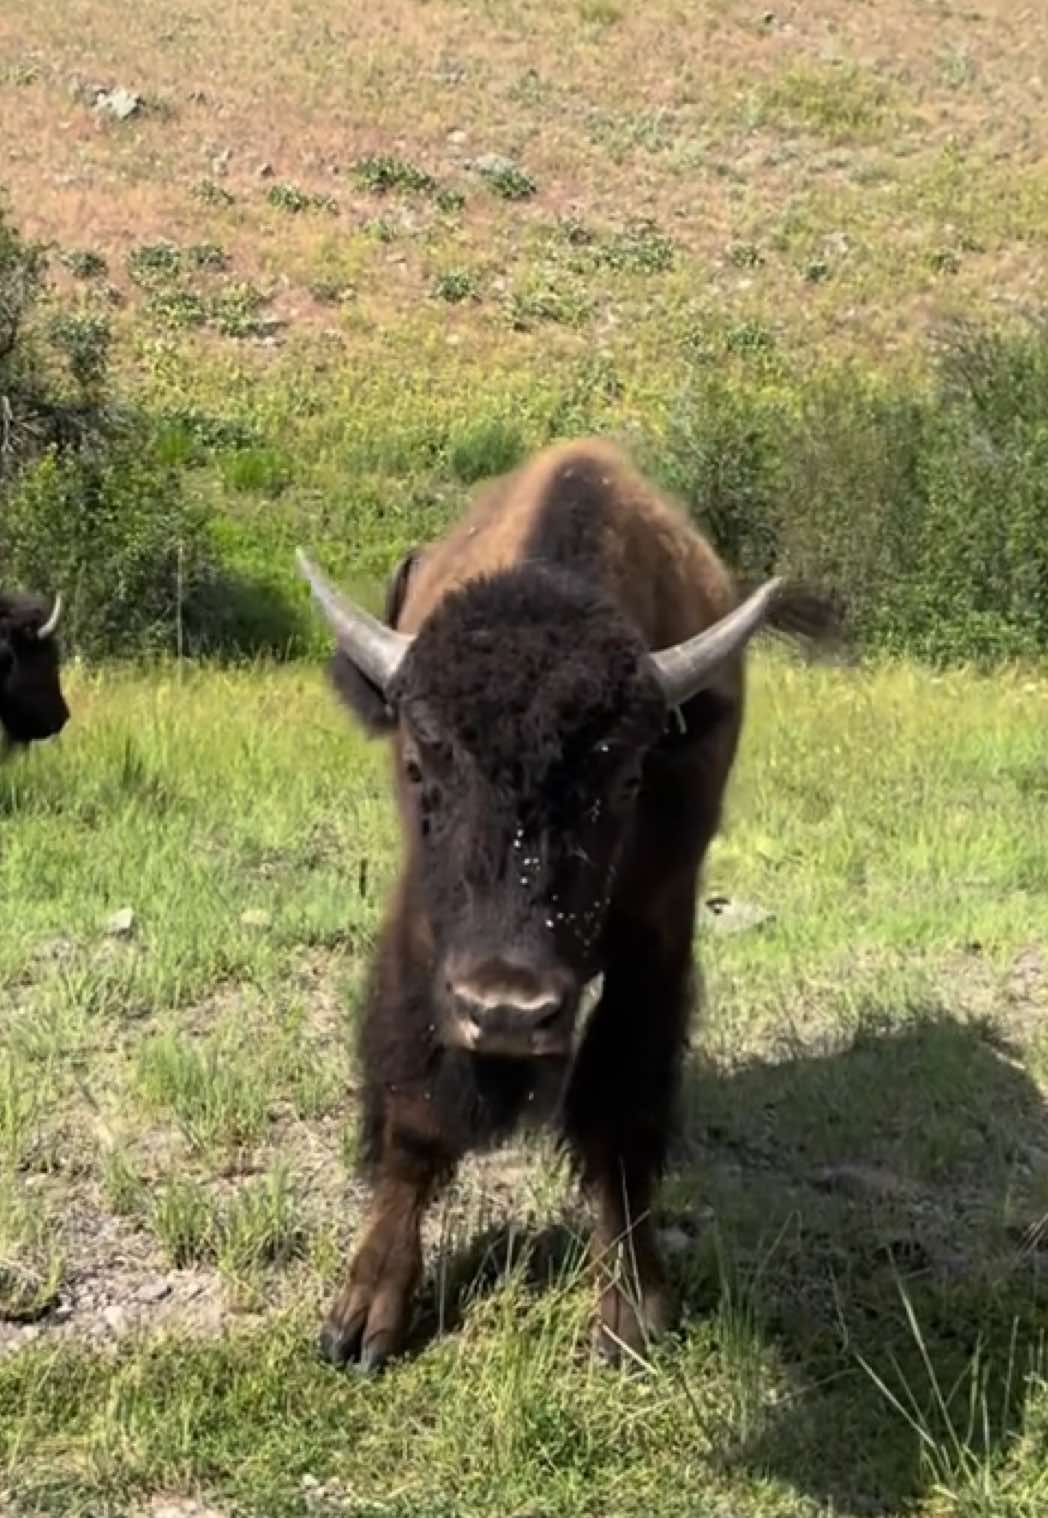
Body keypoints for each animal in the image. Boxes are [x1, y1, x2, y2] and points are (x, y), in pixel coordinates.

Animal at [298, 437, 835, 1372]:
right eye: (419, 763)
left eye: (625, 778)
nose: (507, 1010)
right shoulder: (424, 931)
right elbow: (413, 1111)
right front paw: (364, 1318)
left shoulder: (658, 932)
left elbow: (619, 1112)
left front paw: (632, 1310)